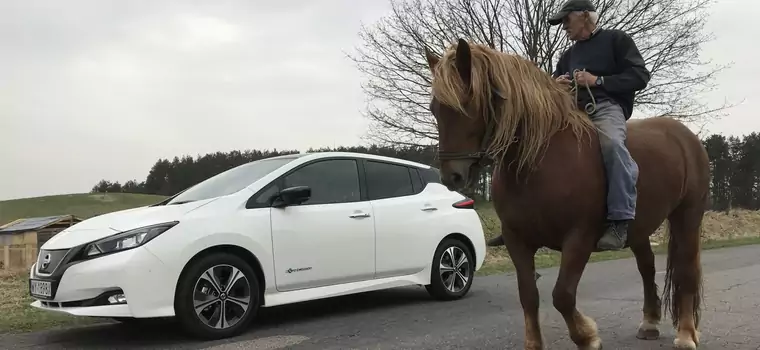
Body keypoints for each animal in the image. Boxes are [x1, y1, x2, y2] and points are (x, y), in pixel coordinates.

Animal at [424, 37, 708, 348]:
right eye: (435, 109)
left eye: (469, 103)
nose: (452, 176)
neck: (539, 162)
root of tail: (686, 136)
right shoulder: (516, 239)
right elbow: (528, 295)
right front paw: (535, 343)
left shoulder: (579, 237)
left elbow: (562, 295)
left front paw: (587, 337)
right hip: (639, 228)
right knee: (647, 268)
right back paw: (649, 323)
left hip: (687, 216)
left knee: (686, 270)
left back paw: (686, 334)